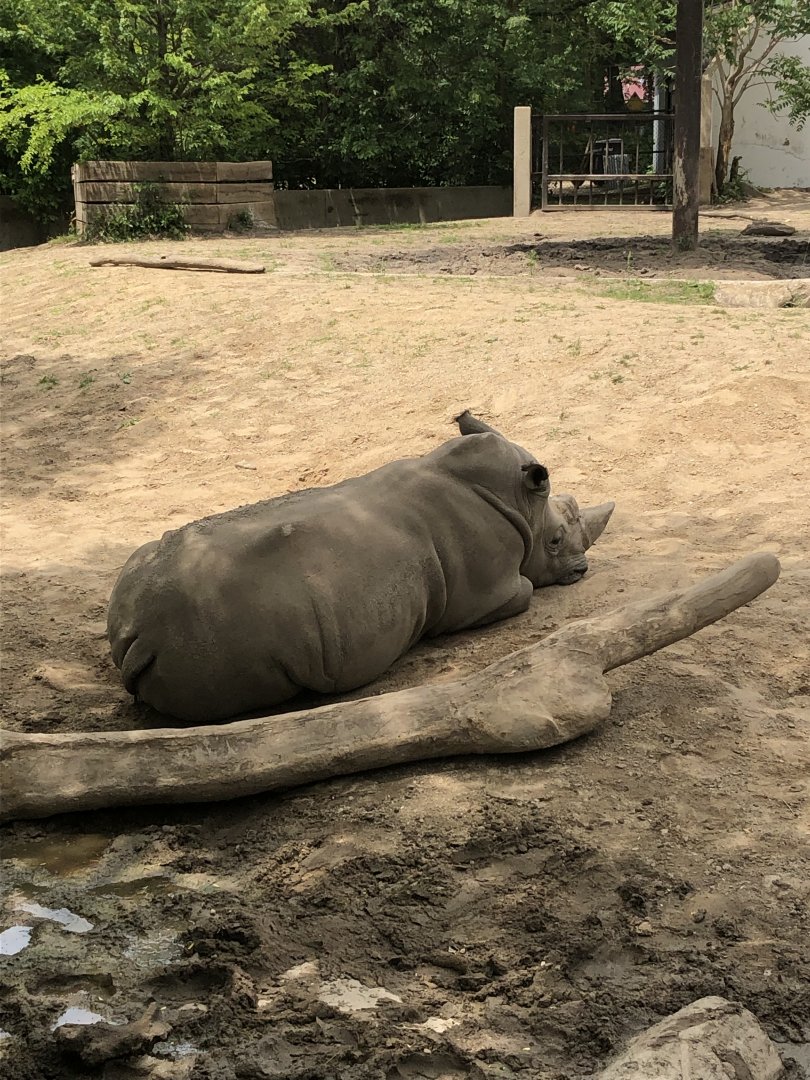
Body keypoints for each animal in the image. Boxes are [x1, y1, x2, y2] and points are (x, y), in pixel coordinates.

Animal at [107, 412, 614, 723]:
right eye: (555, 541)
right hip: (222, 629)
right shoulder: (489, 592)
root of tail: (141, 635)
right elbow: (525, 590)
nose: (581, 571)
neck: (518, 502)